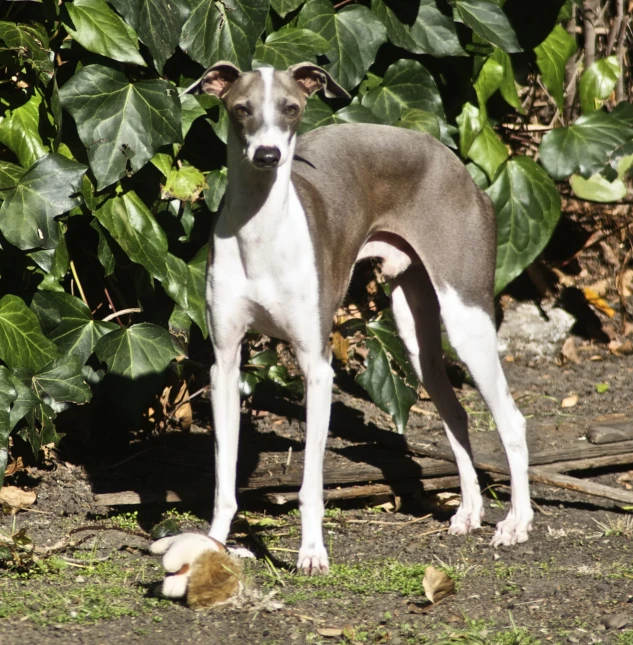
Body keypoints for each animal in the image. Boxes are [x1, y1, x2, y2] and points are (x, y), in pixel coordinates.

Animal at [200, 60, 532, 572]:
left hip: (466, 317)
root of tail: (456, 165)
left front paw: (312, 553)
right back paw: (470, 512)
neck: (261, 234)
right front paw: (214, 545)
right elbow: (223, 475)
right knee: (456, 413)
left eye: (291, 109)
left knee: (511, 421)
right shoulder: (225, 361)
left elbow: (311, 485)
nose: (268, 155)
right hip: (415, 335)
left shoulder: (317, 367)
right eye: (241, 109)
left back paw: (516, 523)